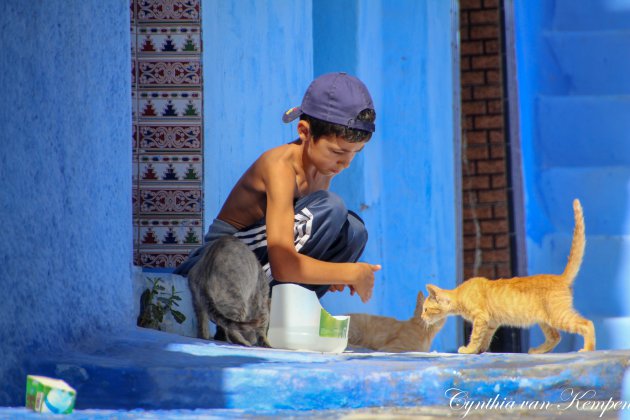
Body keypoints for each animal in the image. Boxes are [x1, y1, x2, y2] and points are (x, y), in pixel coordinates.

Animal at [422, 200, 596, 354]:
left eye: (425, 309)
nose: (422, 317)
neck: (460, 293)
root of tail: (560, 277)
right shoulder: (490, 322)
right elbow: (485, 338)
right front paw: (479, 351)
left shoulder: (480, 317)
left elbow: (475, 337)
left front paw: (469, 349)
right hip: (545, 320)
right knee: (555, 336)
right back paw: (537, 351)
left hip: (558, 315)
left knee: (587, 324)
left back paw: (588, 349)